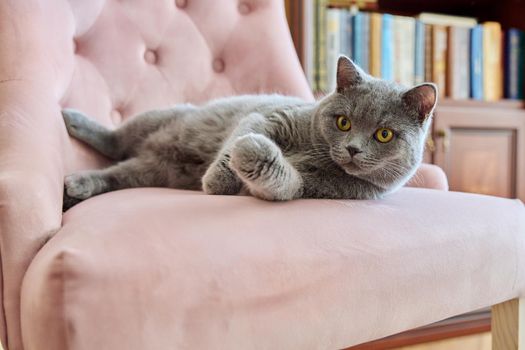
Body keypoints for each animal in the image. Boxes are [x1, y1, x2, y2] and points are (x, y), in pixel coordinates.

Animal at [62, 56, 438, 211]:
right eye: (343, 122)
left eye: (384, 135)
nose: (353, 149)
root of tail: (151, 151)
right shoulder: (270, 117)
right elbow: (236, 141)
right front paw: (217, 181)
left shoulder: (311, 189)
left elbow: (285, 184)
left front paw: (256, 157)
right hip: (162, 117)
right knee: (115, 139)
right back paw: (70, 119)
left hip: (150, 172)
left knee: (114, 174)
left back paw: (76, 186)